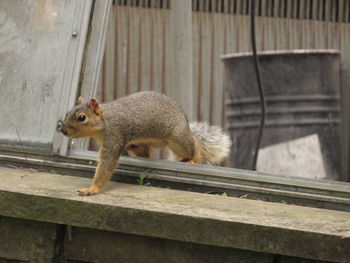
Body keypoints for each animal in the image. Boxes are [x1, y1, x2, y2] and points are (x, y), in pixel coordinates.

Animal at [58, 91, 231, 196]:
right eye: (67, 112)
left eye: (82, 117)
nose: (63, 130)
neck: (106, 121)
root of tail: (185, 124)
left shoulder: (114, 137)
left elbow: (106, 165)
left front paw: (91, 189)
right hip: (139, 144)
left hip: (178, 140)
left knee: (193, 147)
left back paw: (195, 159)